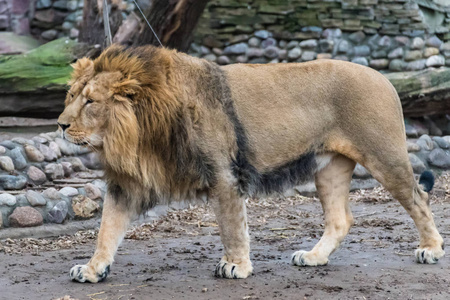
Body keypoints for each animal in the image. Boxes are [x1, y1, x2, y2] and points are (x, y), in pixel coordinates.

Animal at [57, 45, 446, 284]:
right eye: (71, 96)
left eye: (90, 102)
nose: (60, 124)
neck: (141, 133)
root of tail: (383, 77)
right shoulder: (127, 184)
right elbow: (107, 229)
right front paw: (92, 270)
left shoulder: (224, 174)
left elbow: (232, 226)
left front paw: (236, 266)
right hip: (329, 168)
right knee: (341, 219)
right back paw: (313, 257)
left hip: (384, 156)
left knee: (419, 199)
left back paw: (432, 249)